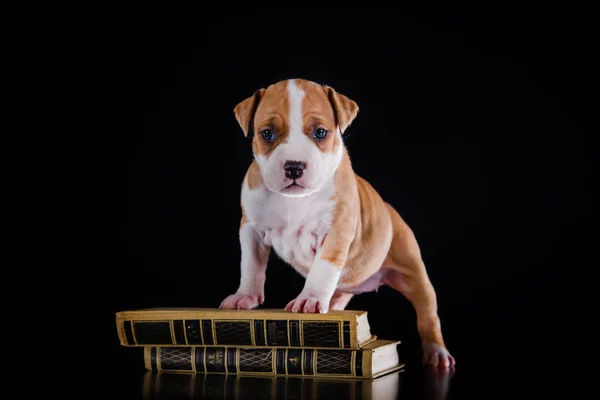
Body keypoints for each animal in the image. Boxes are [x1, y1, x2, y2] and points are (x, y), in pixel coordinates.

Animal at [220, 78, 454, 368]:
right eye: (267, 134)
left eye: (320, 132)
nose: (294, 166)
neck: (293, 201)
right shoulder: (250, 228)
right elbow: (251, 265)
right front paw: (245, 296)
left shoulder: (335, 231)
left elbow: (322, 267)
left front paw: (308, 299)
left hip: (415, 275)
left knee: (428, 315)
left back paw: (437, 352)